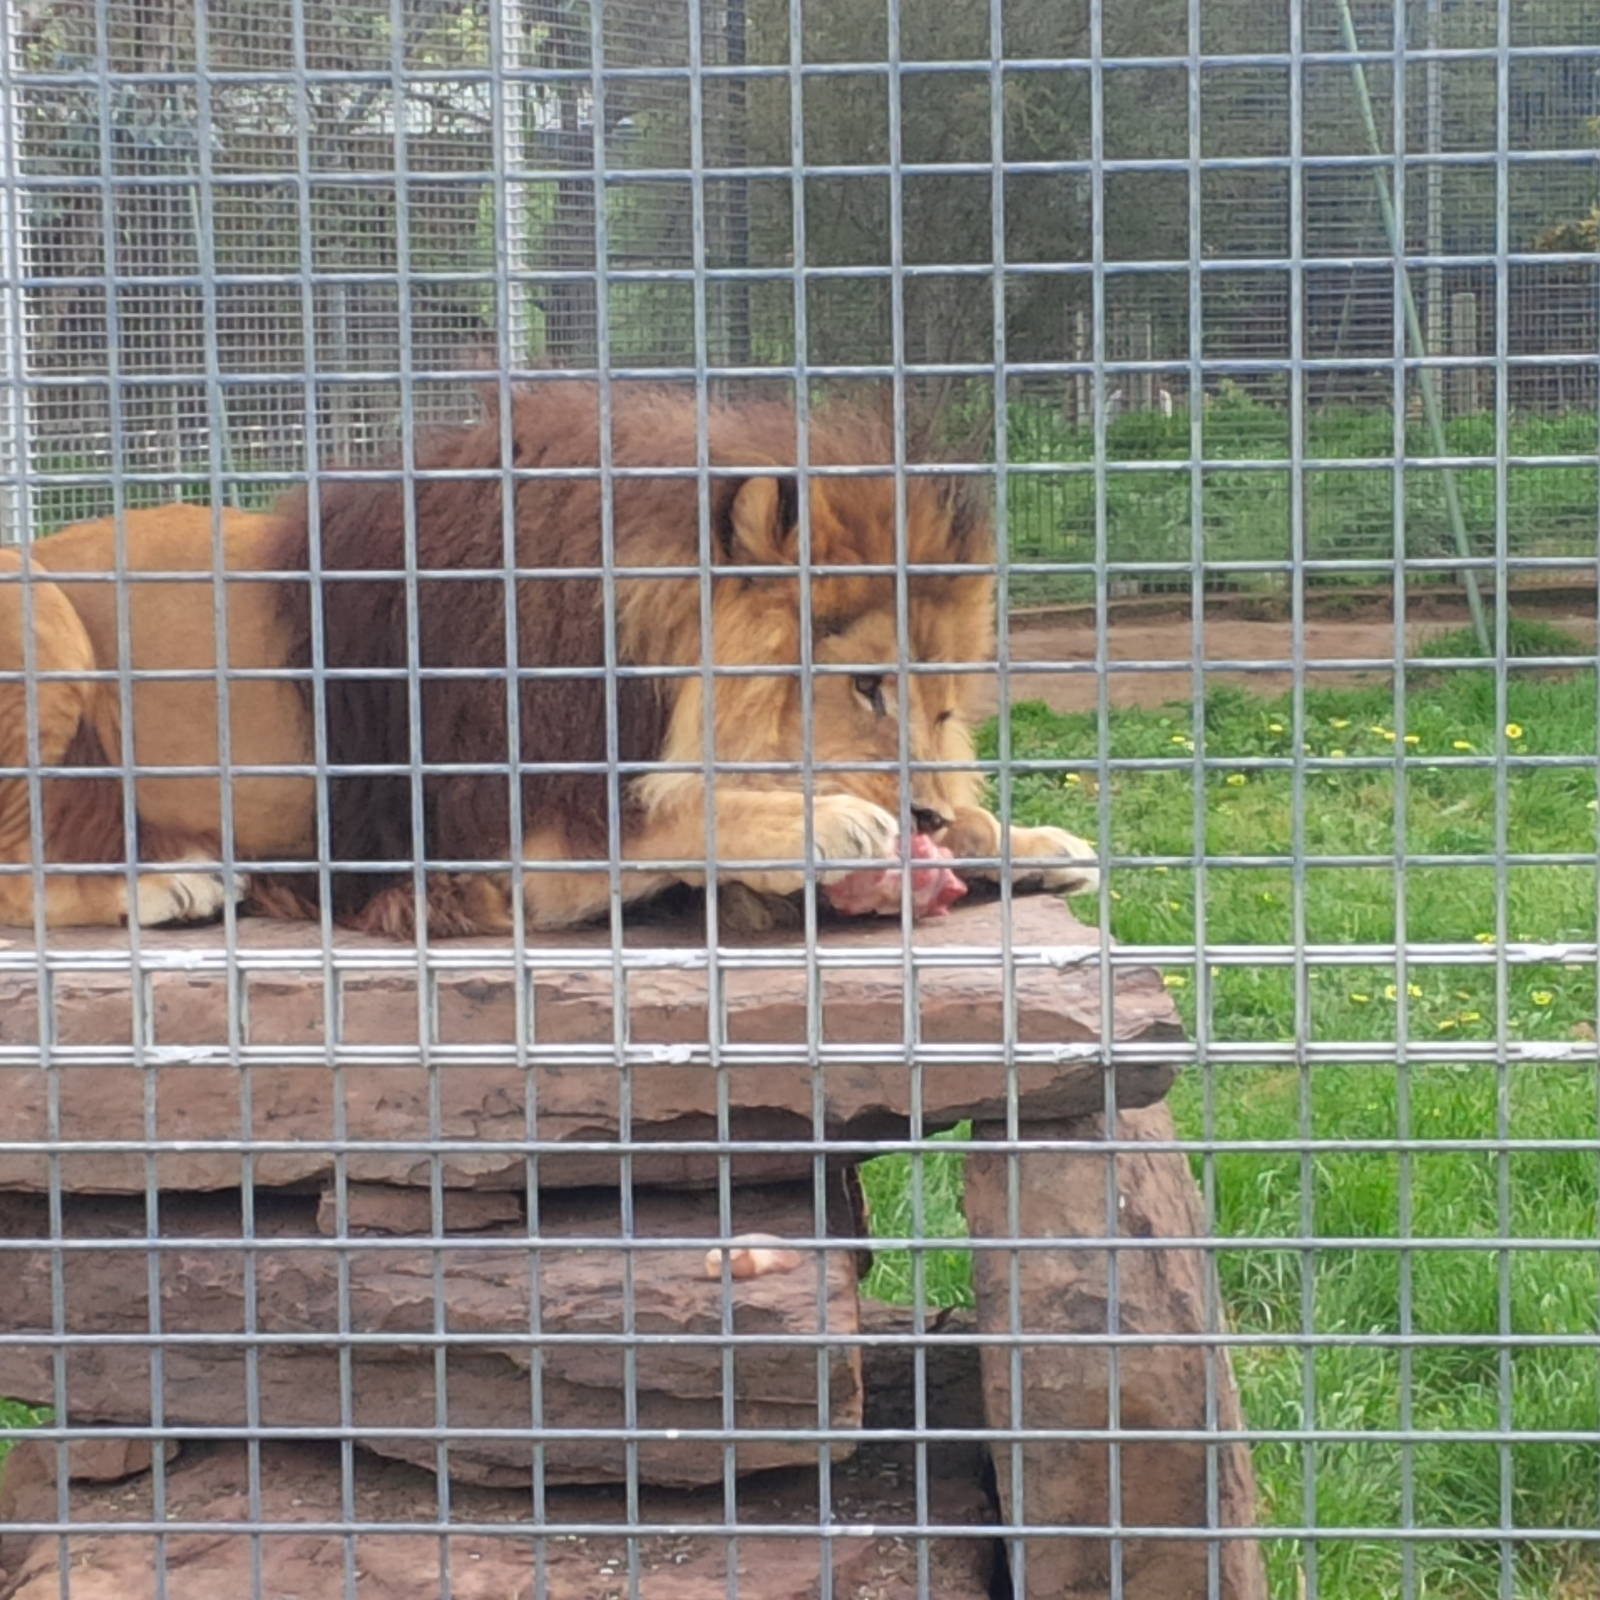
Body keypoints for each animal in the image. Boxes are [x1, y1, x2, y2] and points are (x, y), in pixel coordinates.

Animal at [0, 382, 1098, 935]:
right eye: (864, 687)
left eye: (947, 709)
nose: (927, 820)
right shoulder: (507, 847)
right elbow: (667, 821)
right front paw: (826, 821)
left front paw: (1023, 838)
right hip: (39, 618)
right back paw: (164, 884)